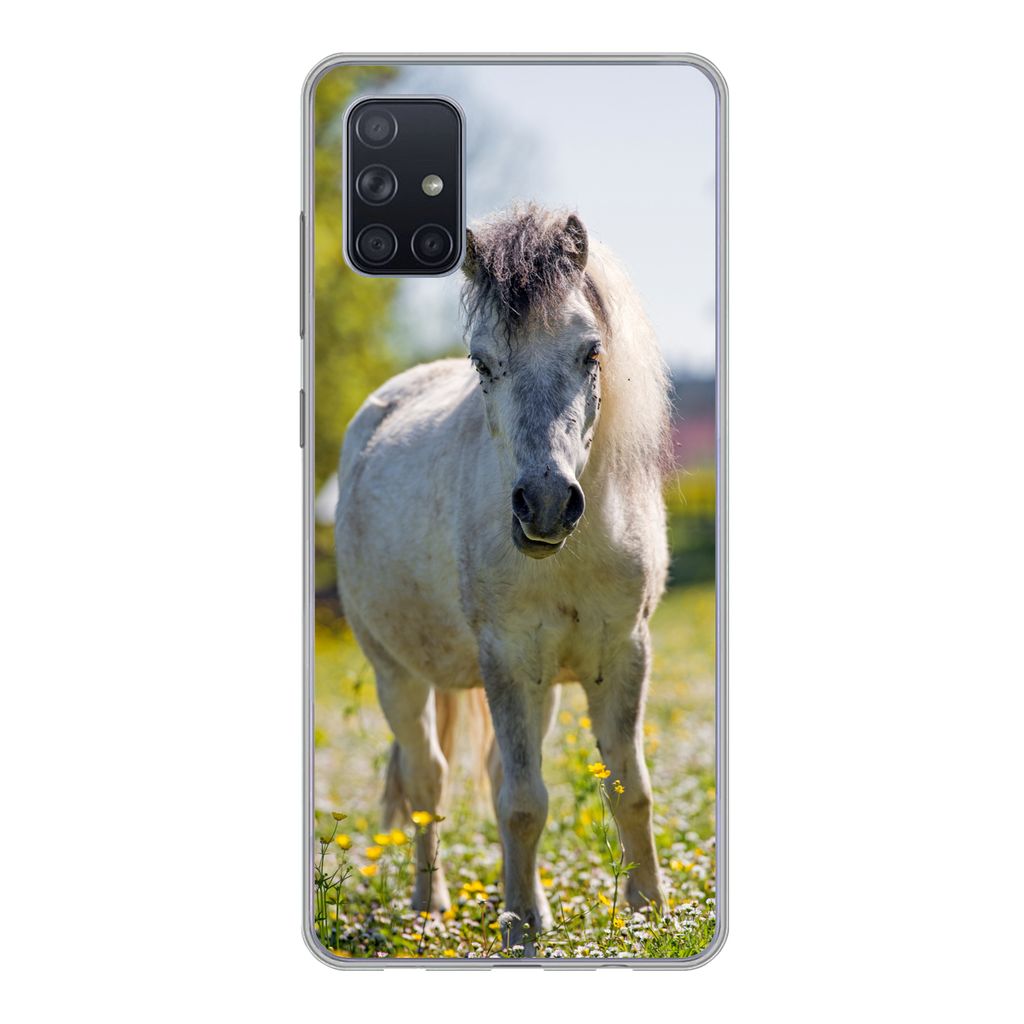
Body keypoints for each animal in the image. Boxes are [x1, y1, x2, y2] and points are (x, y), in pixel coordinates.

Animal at [334, 204, 671, 952]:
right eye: (483, 363)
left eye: (591, 352)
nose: (544, 504)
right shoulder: (508, 660)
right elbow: (523, 803)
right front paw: (521, 931)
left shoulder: (622, 654)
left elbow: (629, 789)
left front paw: (652, 916)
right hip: (397, 675)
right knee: (428, 781)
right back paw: (430, 908)